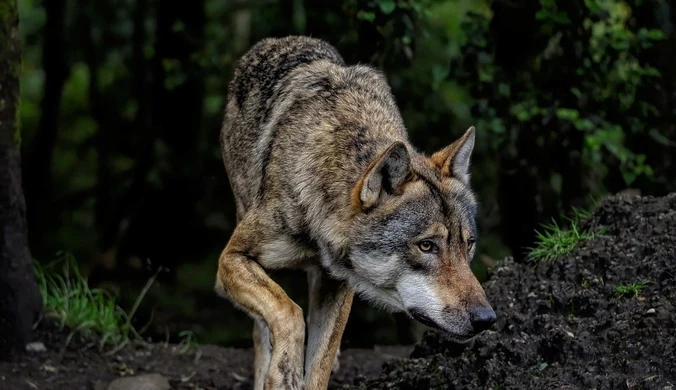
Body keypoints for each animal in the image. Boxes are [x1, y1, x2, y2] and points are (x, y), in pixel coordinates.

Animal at [217, 36, 496, 390]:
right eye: (426, 246)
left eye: (468, 244)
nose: (486, 319)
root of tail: (277, 41)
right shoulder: (231, 259)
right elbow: (288, 311)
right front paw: (285, 369)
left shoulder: (339, 283)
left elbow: (319, 364)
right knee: (262, 328)